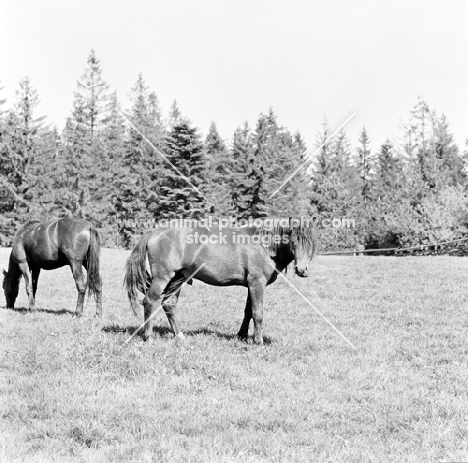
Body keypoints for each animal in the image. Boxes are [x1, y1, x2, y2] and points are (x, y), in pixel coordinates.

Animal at [125, 218, 318, 344]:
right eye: (294, 242)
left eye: (311, 244)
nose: (302, 270)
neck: (263, 245)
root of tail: (154, 231)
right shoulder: (257, 283)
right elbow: (257, 313)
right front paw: (258, 341)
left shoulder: (251, 285)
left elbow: (248, 311)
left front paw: (242, 336)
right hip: (163, 277)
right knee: (150, 301)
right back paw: (148, 336)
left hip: (178, 278)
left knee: (169, 304)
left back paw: (179, 335)